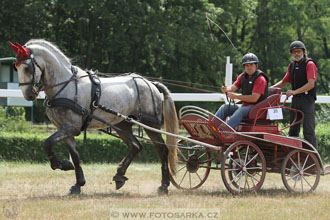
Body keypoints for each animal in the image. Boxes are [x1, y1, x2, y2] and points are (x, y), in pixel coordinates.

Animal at [9, 39, 178, 194]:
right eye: (15, 67)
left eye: (27, 67)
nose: (28, 95)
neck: (65, 86)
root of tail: (151, 84)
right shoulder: (65, 129)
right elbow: (75, 156)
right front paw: (78, 184)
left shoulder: (71, 127)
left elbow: (47, 142)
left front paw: (60, 164)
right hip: (122, 124)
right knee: (135, 146)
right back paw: (119, 176)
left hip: (150, 123)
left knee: (162, 150)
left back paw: (164, 185)